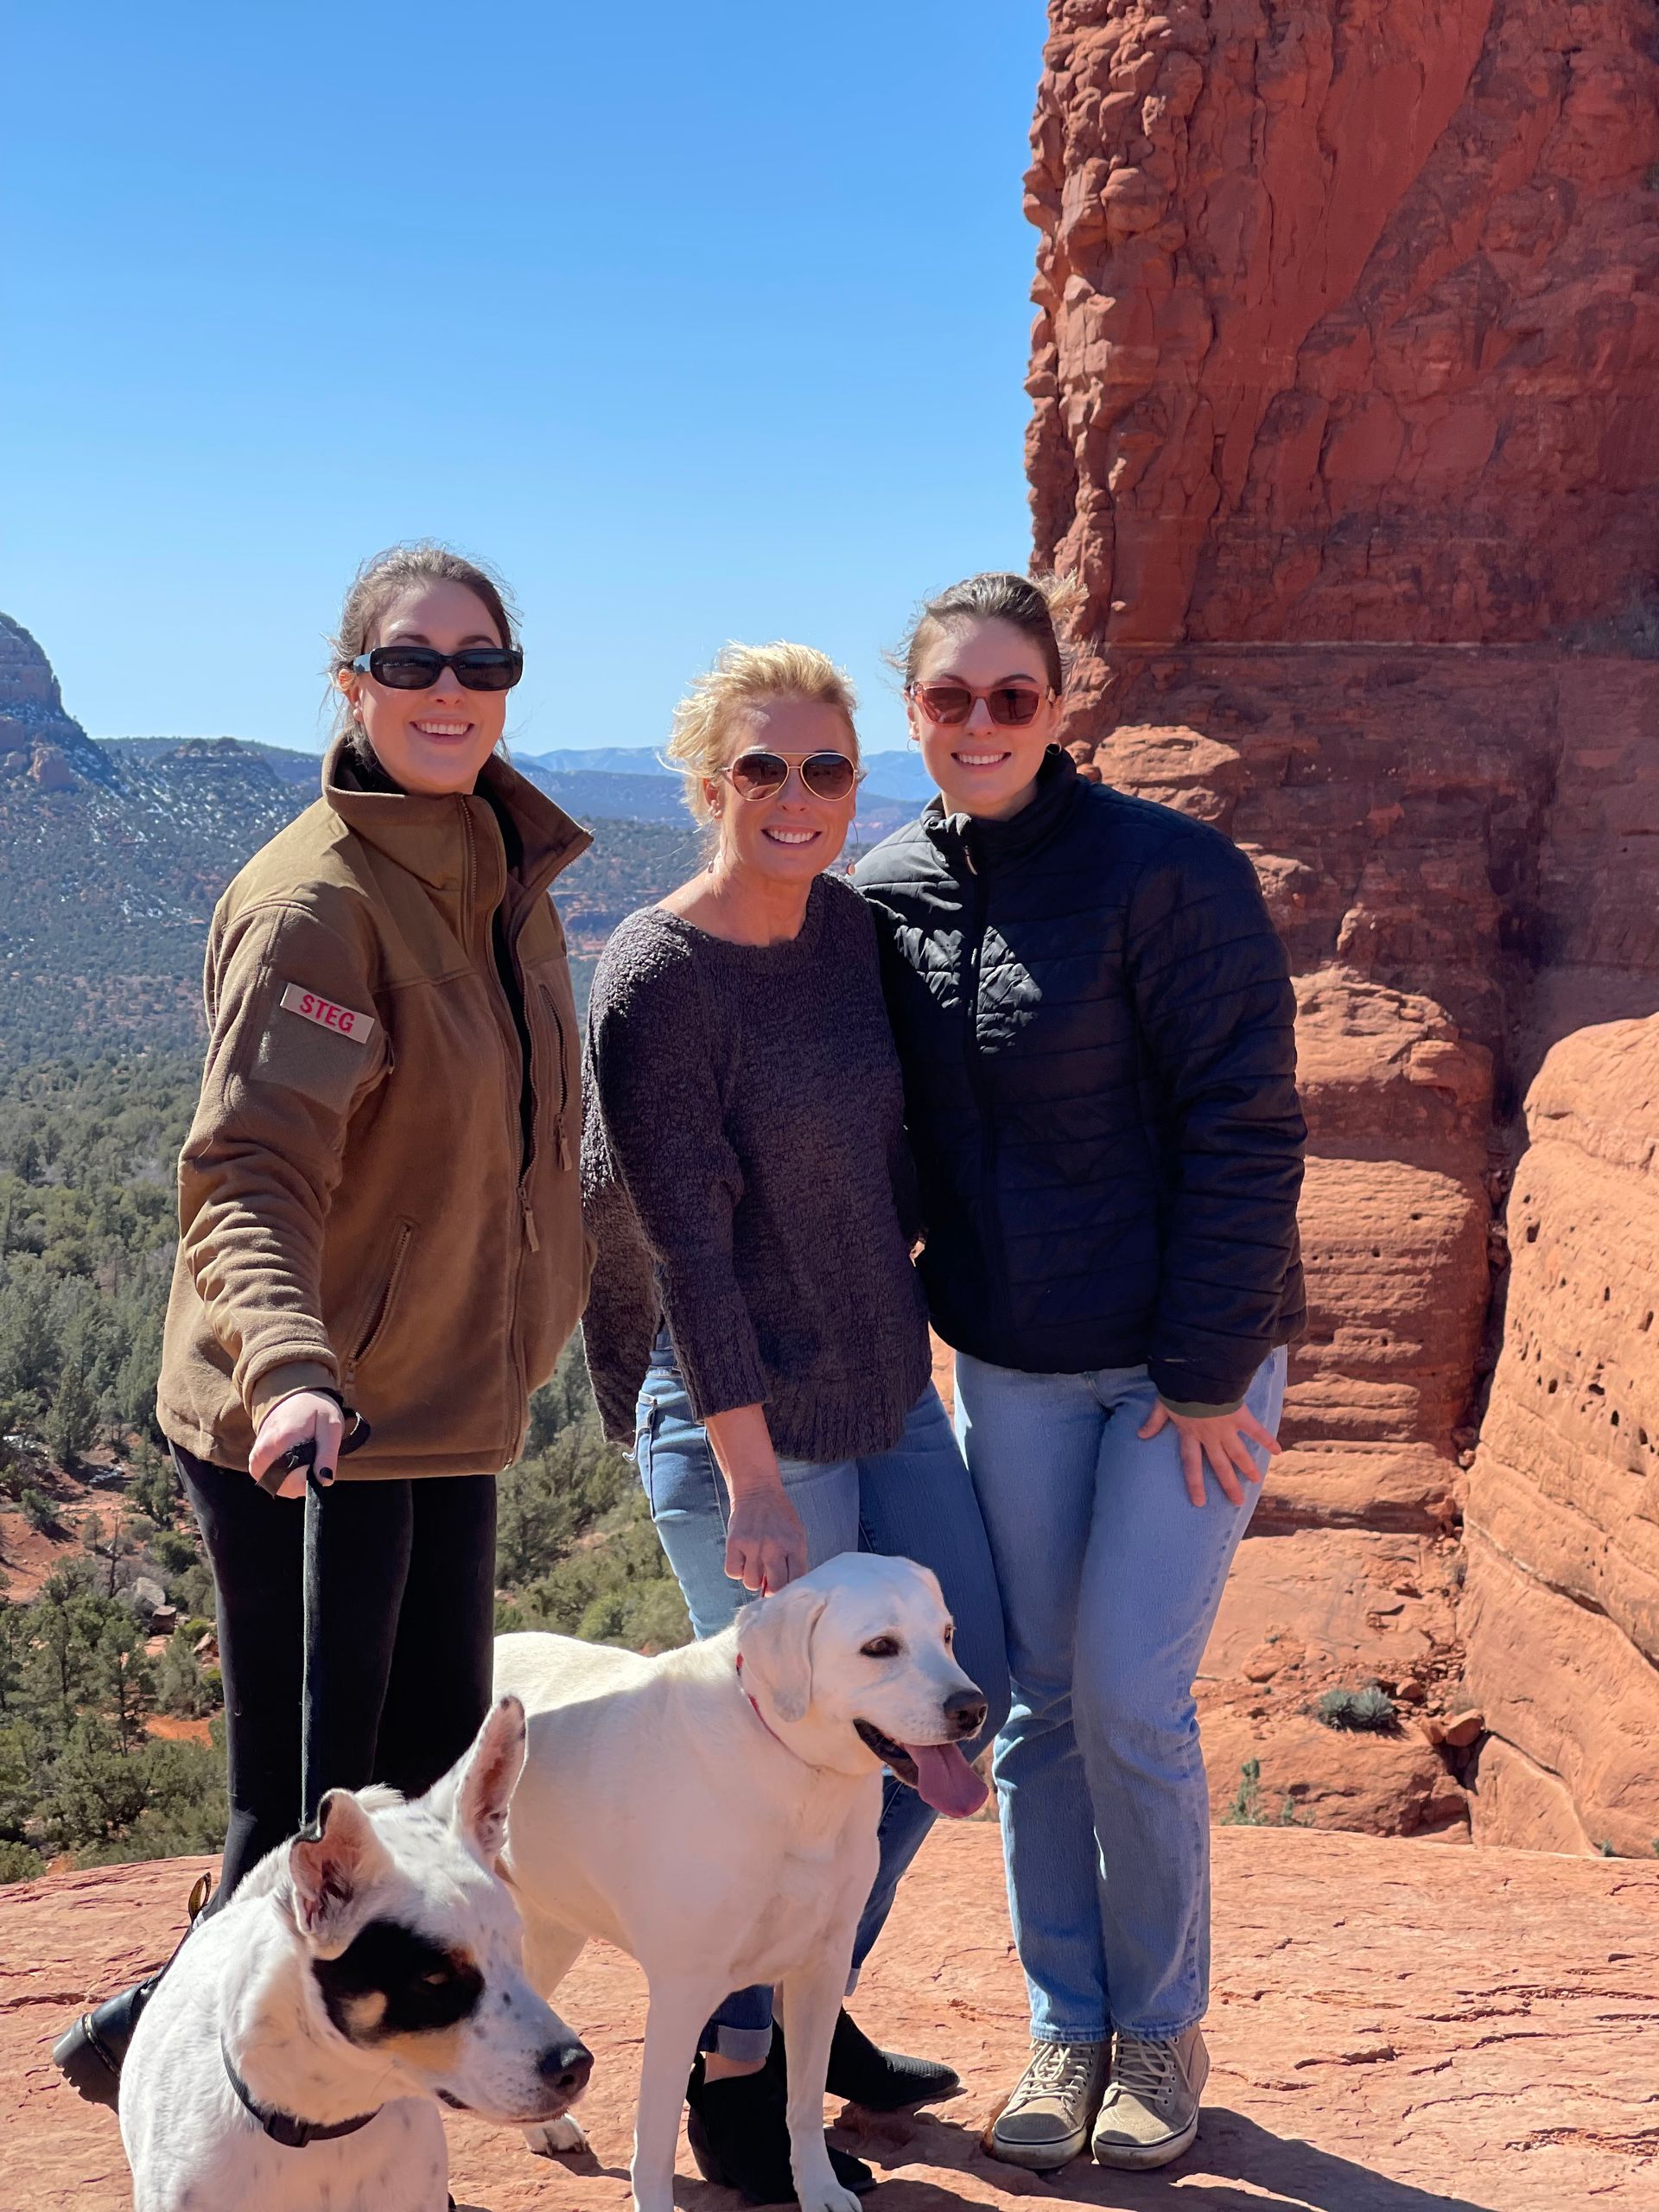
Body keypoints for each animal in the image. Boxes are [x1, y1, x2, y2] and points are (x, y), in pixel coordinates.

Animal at [495, 1549, 989, 2212]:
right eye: (880, 1647)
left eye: (947, 1635)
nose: (972, 1708)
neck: (793, 1770)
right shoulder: (682, 1993)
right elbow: (654, 2144)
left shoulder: (822, 1967)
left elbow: (803, 2105)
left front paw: (819, 2189)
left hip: (551, 1928)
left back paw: (544, 2128)